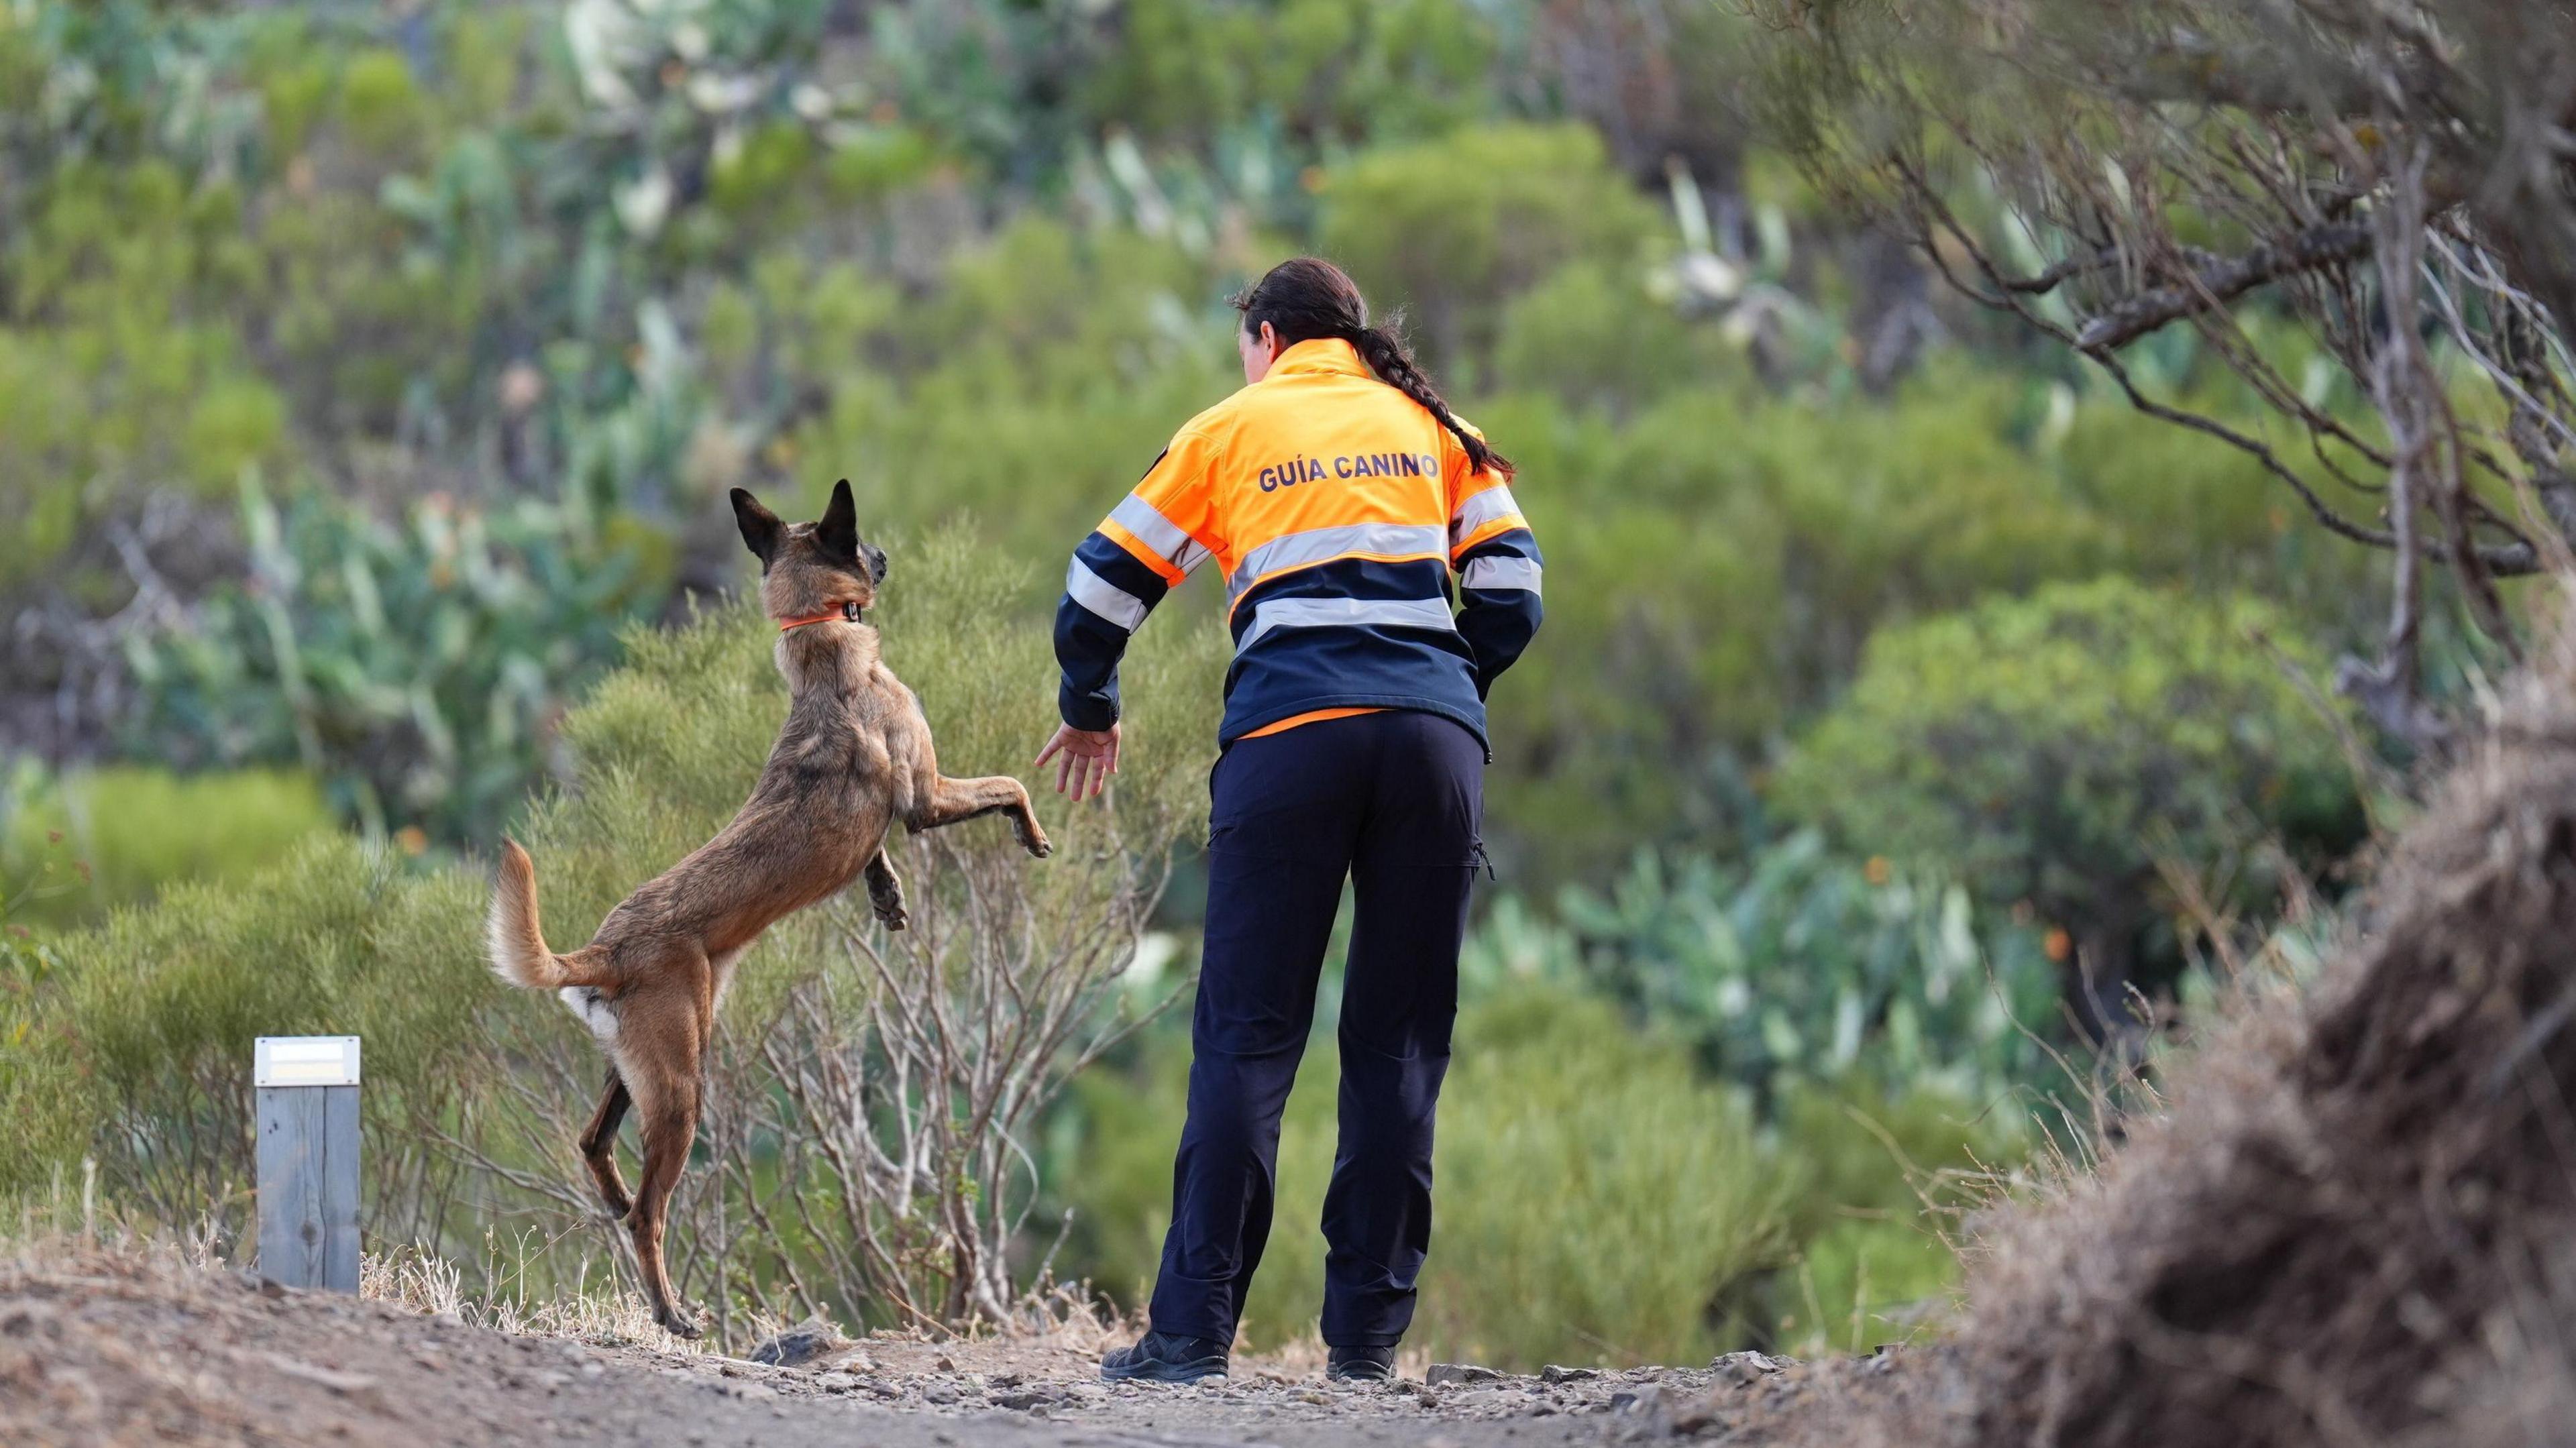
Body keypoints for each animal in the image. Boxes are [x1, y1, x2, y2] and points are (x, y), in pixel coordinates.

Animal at [484, 479, 1046, 1339]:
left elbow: (874, 852)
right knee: (651, 1213)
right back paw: (671, 1309)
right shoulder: (926, 797)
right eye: (860, 537)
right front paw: (1030, 827)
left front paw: (887, 894)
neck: (819, 649)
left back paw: (612, 1199)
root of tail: (603, 949)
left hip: (641, 1068)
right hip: (683, 1088)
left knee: (592, 1142)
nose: (885, 552)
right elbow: (1007, 783)